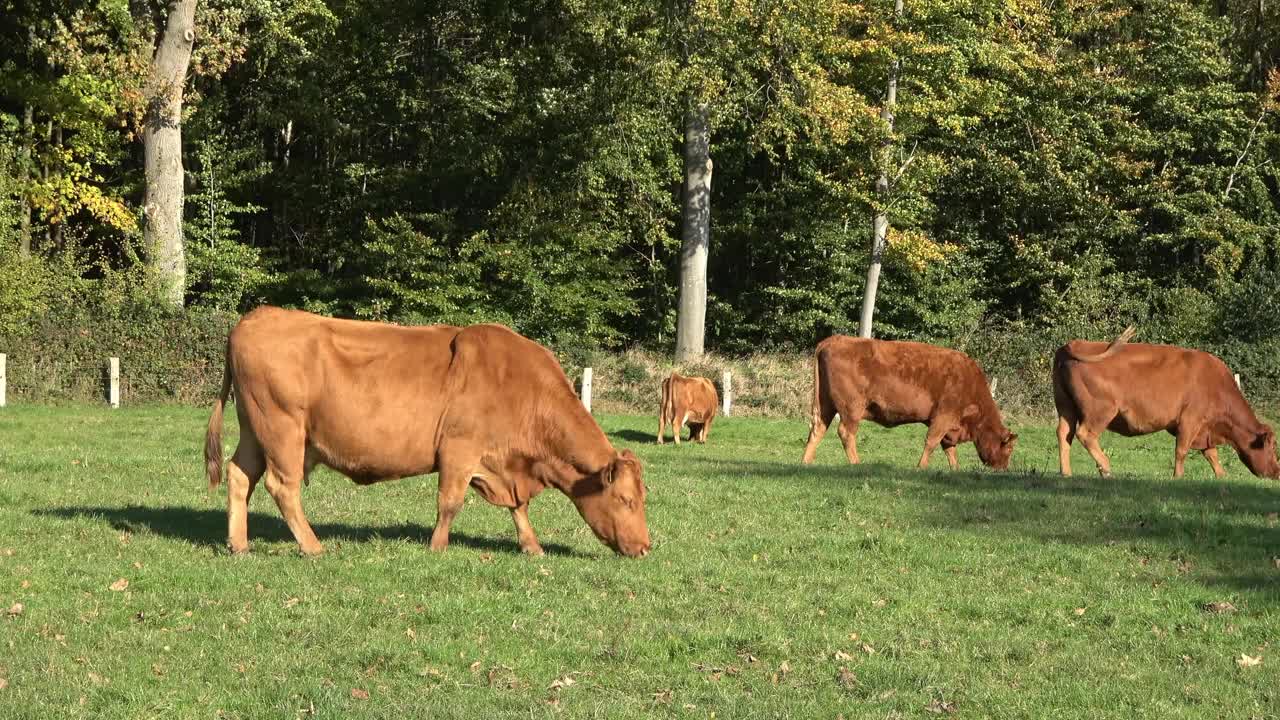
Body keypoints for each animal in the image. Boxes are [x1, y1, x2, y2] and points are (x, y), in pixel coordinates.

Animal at [208, 304, 655, 558]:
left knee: (239, 476)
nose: (645, 548)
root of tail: (258, 315)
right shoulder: (459, 451)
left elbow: (519, 509)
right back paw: (313, 546)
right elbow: (450, 503)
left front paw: (533, 548)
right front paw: (437, 548)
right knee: (283, 487)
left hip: (255, 431)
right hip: (282, 430)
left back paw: (239, 545)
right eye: (627, 500)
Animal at [798, 338, 1018, 471]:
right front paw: (921, 467)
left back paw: (805, 463)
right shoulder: (944, 416)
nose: (1003, 469)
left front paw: (955, 470)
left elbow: (949, 448)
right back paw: (857, 464)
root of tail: (834, 340)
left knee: (817, 430)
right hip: (851, 408)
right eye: (1008, 449)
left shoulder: (949, 425)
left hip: (825, 405)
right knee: (846, 432)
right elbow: (932, 442)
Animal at [1049, 327, 1280, 479]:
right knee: (1085, 434)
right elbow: (1182, 450)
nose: (1277, 472)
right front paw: (1177, 478)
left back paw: (1066, 473)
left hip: (1066, 407)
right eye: (1272, 447)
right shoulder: (1190, 420)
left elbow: (1211, 453)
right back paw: (1105, 467)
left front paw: (1222, 476)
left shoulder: (1204, 428)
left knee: (1064, 434)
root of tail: (1072, 344)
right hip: (1101, 411)